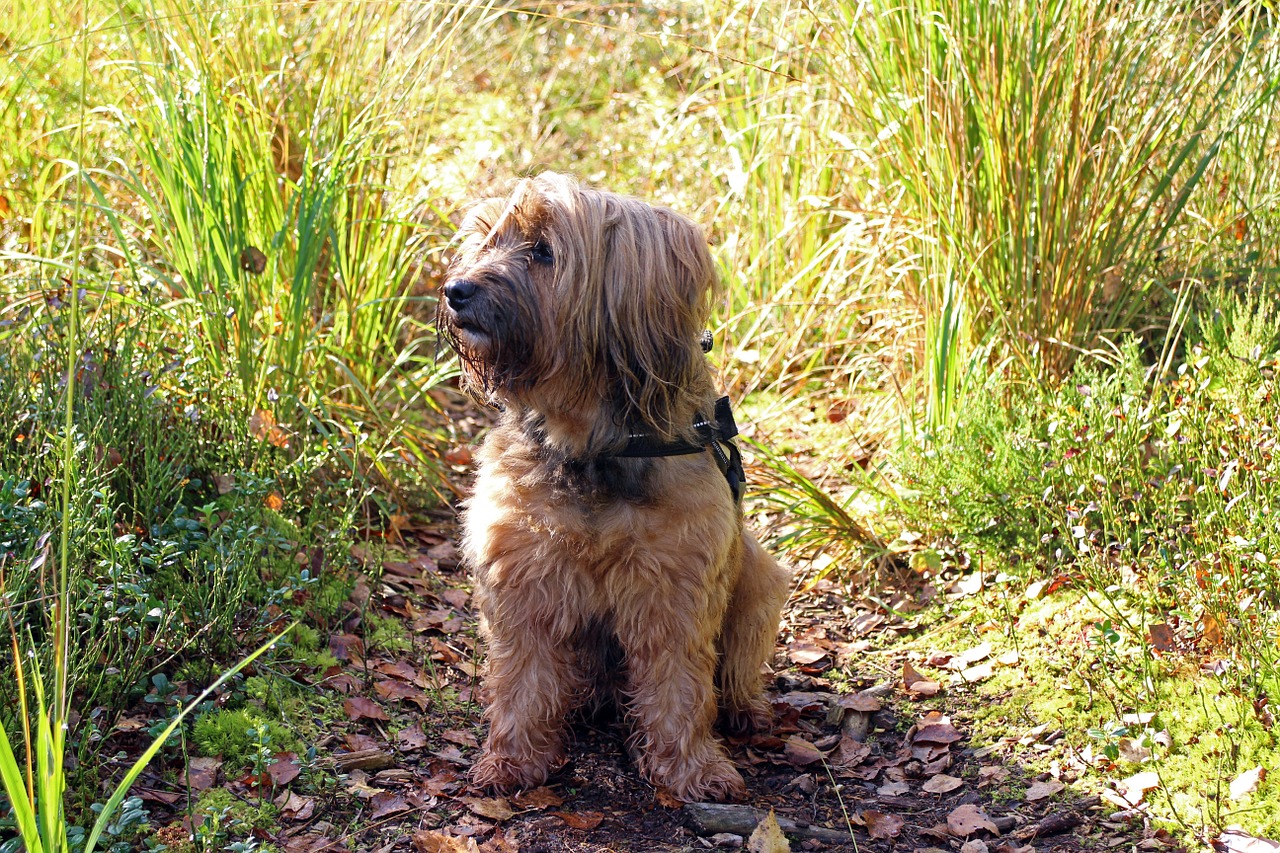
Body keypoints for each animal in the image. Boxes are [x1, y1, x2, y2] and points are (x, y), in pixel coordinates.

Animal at [435, 171, 783, 799]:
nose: (456, 289)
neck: (590, 443)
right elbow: (523, 679)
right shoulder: (525, 575)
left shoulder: (674, 585)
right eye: (489, 240)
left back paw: (747, 711)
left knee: (735, 674)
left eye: (543, 250)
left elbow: (679, 685)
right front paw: (513, 759)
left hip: (761, 581)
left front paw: (691, 767)